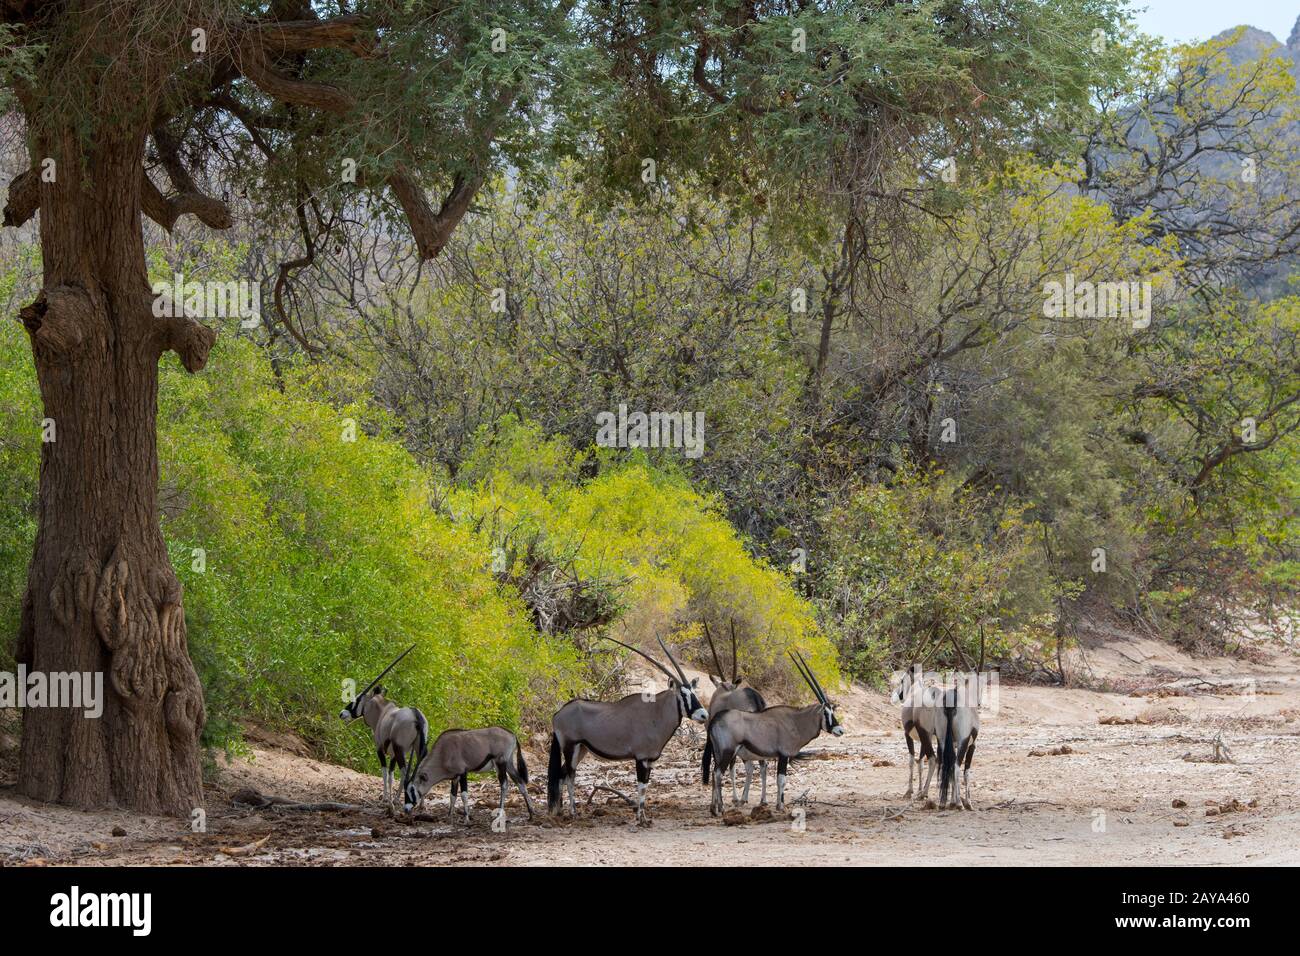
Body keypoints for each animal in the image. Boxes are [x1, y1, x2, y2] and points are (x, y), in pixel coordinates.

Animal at [338, 647, 428, 811]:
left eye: (357, 699)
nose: (342, 713)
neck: (382, 711)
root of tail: (416, 717)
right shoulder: (392, 755)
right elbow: (392, 775)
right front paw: (391, 798)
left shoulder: (380, 749)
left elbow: (385, 773)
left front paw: (386, 799)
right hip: (418, 750)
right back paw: (421, 804)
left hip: (400, 749)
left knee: (404, 773)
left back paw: (401, 801)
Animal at [400, 728, 533, 816]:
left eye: (412, 789)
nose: (406, 809)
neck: (443, 753)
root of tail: (512, 735)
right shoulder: (455, 777)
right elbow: (452, 795)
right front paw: (449, 816)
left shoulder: (463, 772)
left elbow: (463, 794)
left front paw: (467, 817)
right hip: (509, 764)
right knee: (520, 782)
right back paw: (531, 813)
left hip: (501, 763)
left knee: (504, 784)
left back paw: (500, 812)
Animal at [548, 634, 712, 822]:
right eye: (683, 695)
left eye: (694, 692)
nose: (703, 715)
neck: (656, 712)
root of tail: (557, 714)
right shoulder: (640, 758)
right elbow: (641, 787)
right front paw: (640, 819)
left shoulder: (649, 760)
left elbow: (645, 787)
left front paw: (644, 818)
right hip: (570, 747)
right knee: (570, 777)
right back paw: (573, 812)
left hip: (581, 749)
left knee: (561, 776)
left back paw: (560, 812)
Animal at [702, 621, 769, 806]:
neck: (724, 692)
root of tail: (755, 698)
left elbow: (725, 767)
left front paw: (730, 798)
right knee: (763, 764)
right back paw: (762, 800)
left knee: (750, 766)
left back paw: (744, 798)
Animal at [702, 650, 842, 816]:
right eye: (826, 712)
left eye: (833, 711)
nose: (840, 730)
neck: (796, 721)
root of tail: (715, 719)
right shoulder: (783, 755)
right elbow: (781, 780)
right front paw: (780, 806)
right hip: (728, 752)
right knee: (718, 774)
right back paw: (721, 809)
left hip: (718, 752)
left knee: (713, 773)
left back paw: (713, 808)